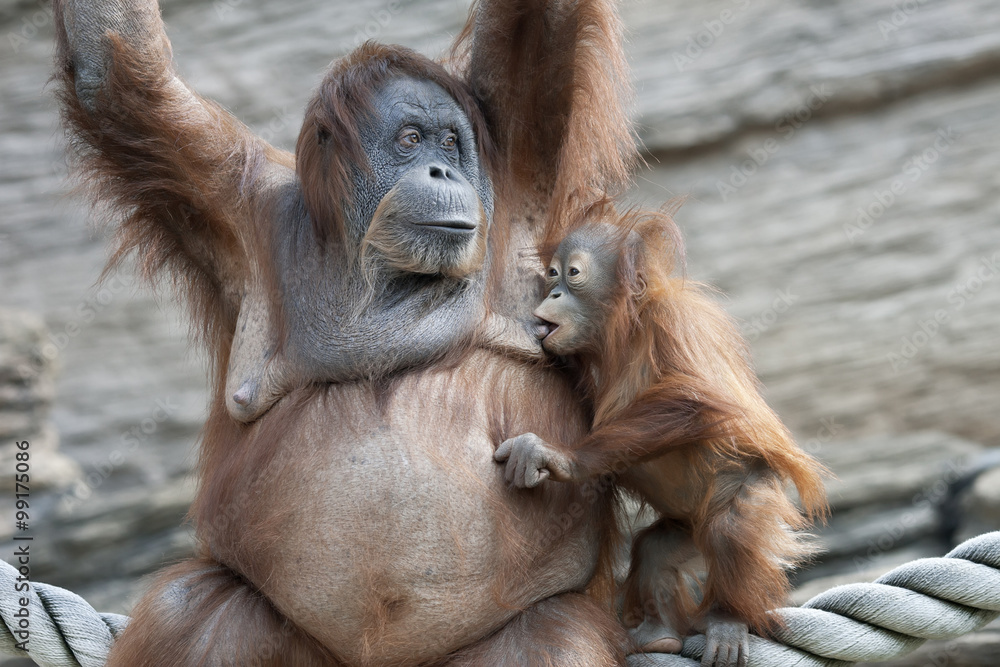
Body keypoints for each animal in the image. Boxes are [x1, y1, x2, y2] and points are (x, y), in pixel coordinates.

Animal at [495, 205, 828, 667]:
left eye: (573, 273)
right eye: (552, 274)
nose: (554, 293)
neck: (624, 332)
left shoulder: (673, 321)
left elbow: (695, 400)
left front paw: (562, 458)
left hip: (753, 493)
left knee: (731, 529)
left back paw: (727, 619)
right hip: (683, 530)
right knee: (655, 549)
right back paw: (659, 636)